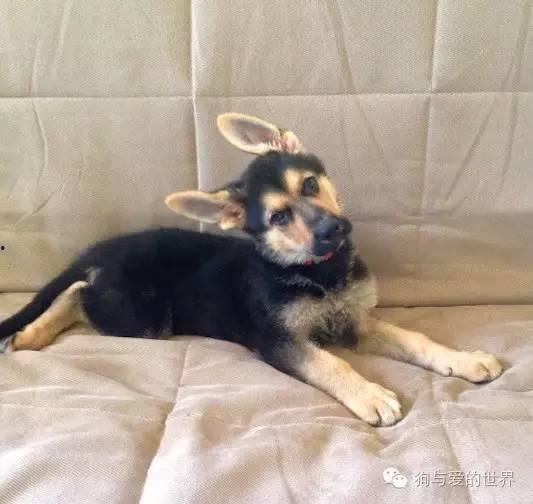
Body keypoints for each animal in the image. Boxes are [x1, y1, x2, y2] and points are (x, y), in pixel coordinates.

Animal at [0, 113, 503, 426]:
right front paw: (369, 394)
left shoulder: (357, 322)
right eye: (278, 218)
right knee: (77, 293)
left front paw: (463, 359)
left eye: (310, 184)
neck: (317, 272)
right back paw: (31, 334)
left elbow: (415, 339)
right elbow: (331, 363)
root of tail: (103, 249)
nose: (334, 229)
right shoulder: (280, 341)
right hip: (143, 319)